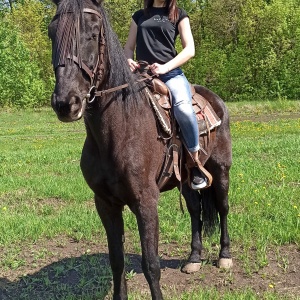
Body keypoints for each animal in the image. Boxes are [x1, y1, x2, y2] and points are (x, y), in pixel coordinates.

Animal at [48, 1, 233, 298]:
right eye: (52, 33)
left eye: (93, 33)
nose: (66, 103)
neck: (120, 129)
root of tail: (215, 100)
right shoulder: (106, 203)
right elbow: (117, 261)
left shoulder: (146, 203)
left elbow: (151, 265)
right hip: (187, 179)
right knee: (195, 210)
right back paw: (194, 258)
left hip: (221, 170)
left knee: (224, 208)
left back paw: (225, 256)